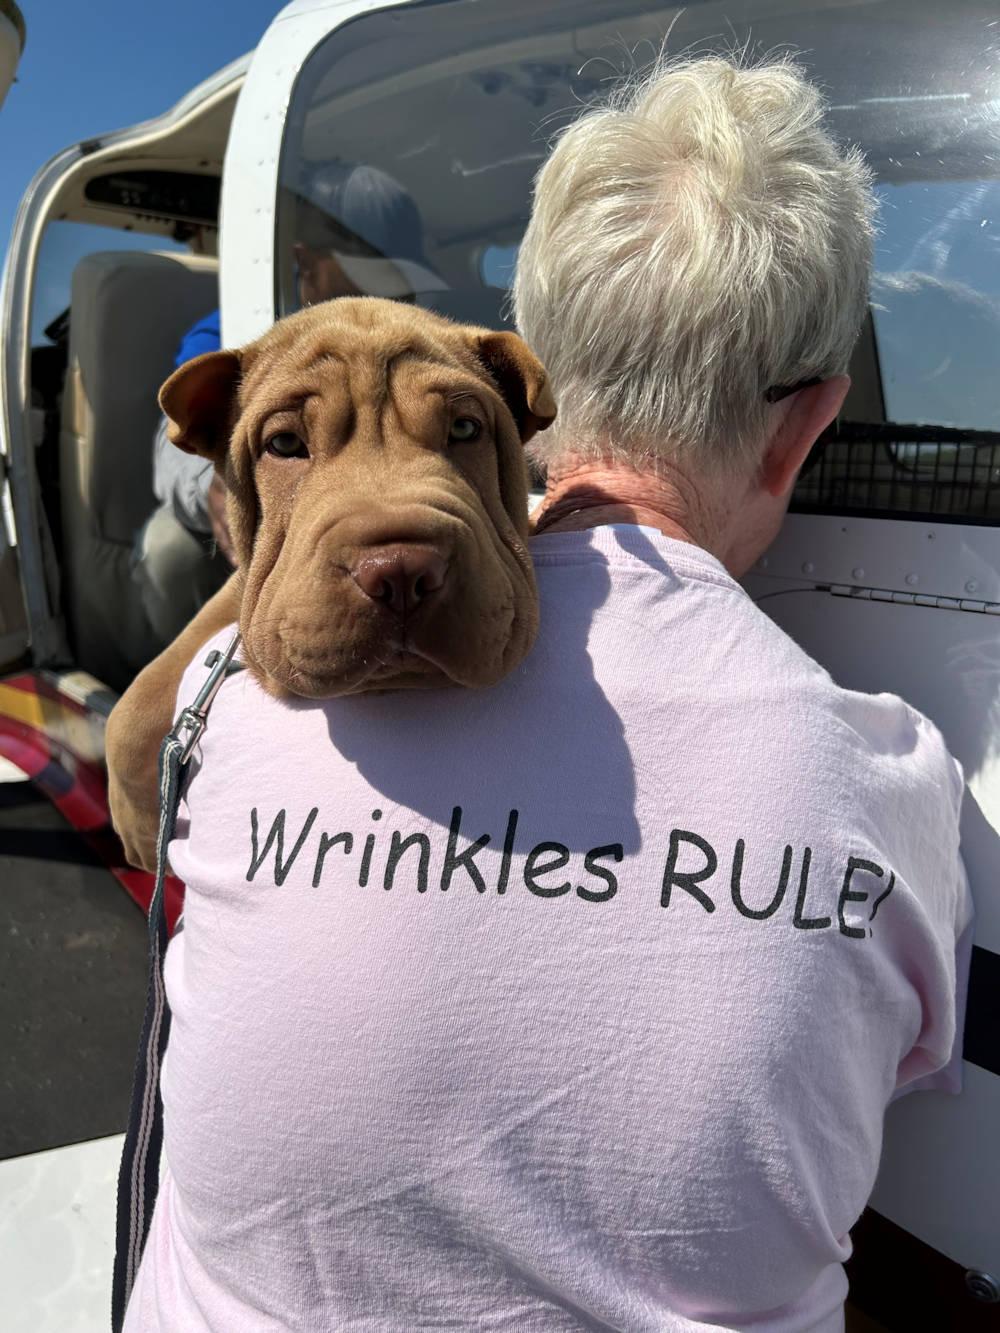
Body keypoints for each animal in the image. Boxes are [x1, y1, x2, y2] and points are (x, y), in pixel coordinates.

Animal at [108, 297, 557, 869]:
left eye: (464, 429)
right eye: (284, 443)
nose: (400, 568)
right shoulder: (241, 590)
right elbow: (137, 700)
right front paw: (143, 834)